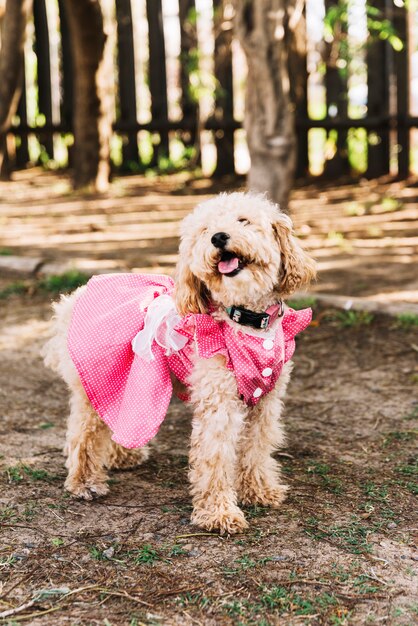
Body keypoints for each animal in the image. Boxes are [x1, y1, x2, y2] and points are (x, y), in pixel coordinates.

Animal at [43, 190, 316, 532]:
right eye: (205, 230)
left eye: (244, 220)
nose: (218, 237)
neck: (245, 319)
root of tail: (73, 299)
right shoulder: (219, 403)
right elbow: (215, 457)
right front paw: (218, 513)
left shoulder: (265, 403)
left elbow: (256, 448)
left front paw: (259, 491)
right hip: (96, 380)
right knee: (84, 433)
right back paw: (84, 482)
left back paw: (123, 457)